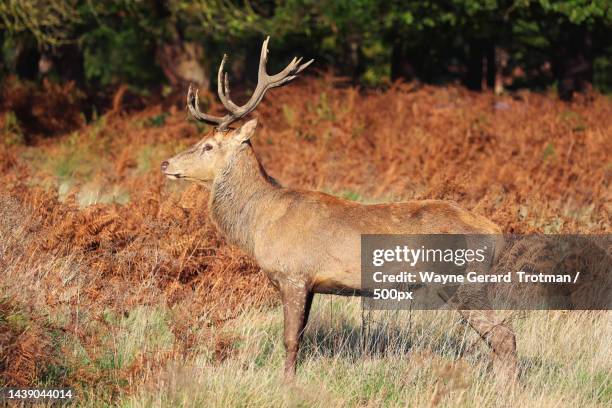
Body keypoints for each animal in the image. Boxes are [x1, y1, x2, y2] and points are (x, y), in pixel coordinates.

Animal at [160, 36, 520, 380]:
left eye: (208, 146)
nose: (166, 163)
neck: (260, 223)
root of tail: (496, 232)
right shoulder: (310, 283)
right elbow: (301, 336)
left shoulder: (293, 274)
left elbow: (290, 340)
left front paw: (286, 385)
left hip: (461, 280)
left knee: (503, 334)